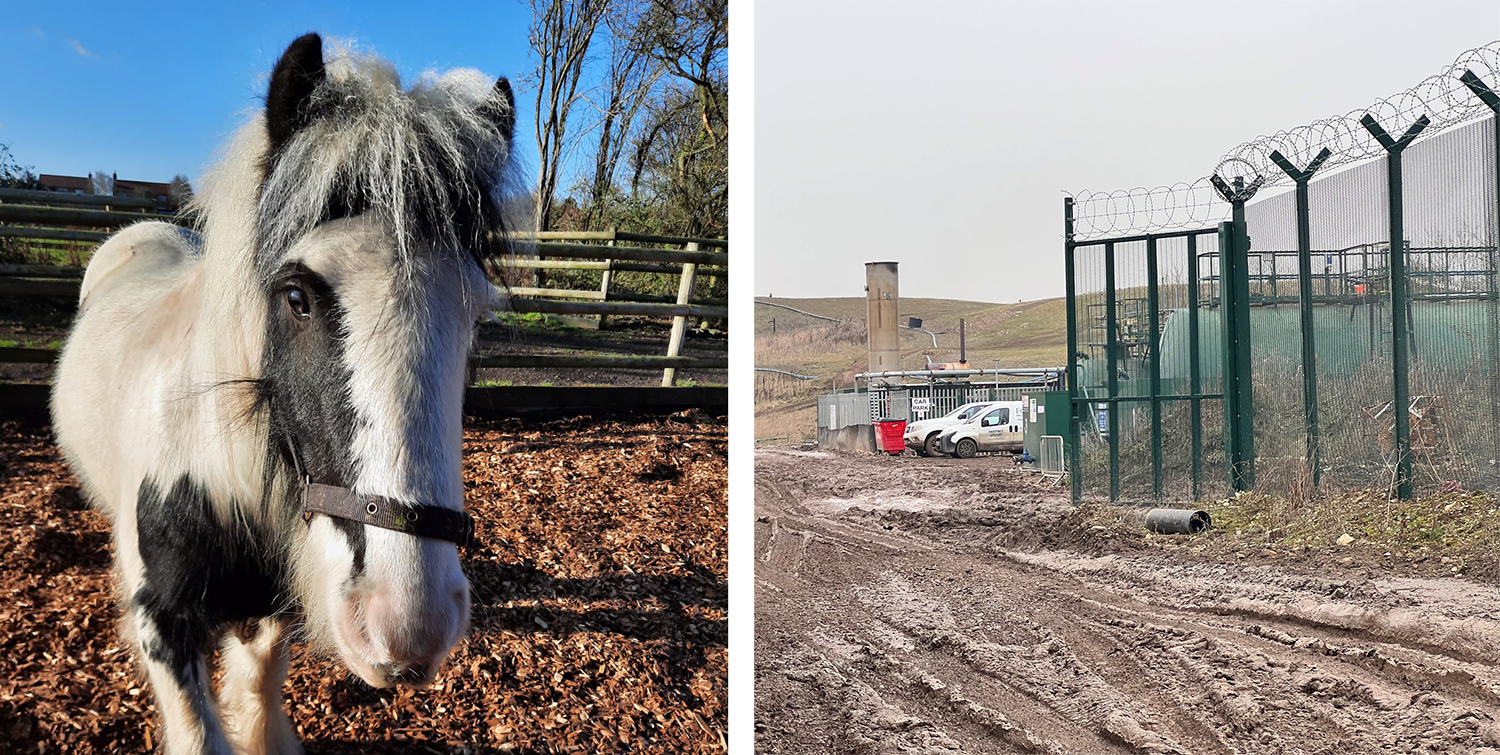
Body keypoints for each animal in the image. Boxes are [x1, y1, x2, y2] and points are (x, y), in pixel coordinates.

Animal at [51, 35, 522, 755]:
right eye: (296, 295)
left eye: (477, 315)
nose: (407, 623)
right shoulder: (164, 627)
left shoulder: (273, 611)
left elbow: (258, 683)